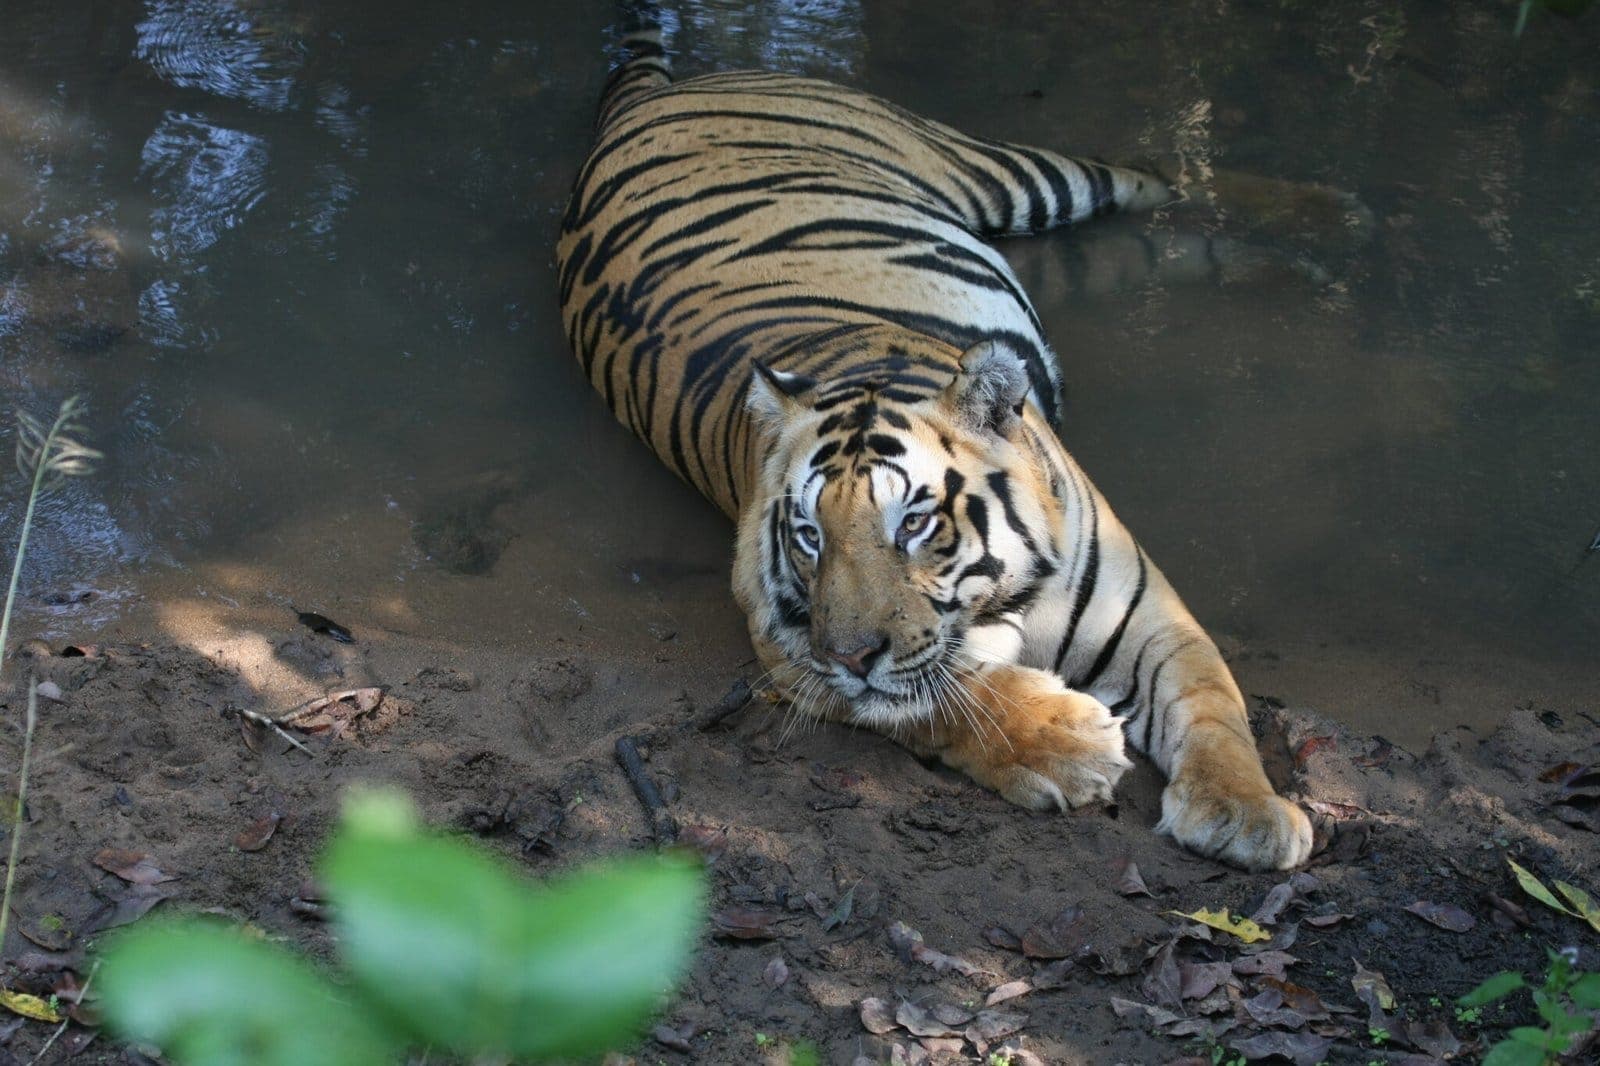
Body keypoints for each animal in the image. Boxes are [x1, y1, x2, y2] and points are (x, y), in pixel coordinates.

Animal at [556, 17, 1313, 871]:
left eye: (915, 523)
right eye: (809, 536)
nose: (850, 653)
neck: (1005, 592)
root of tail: (650, 98)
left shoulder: (1154, 616)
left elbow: (1213, 706)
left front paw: (1245, 813)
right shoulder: (792, 646)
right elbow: (938, 698)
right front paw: (1068, 741)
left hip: (985, 170)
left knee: (1148, 179)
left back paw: (1322, 217)